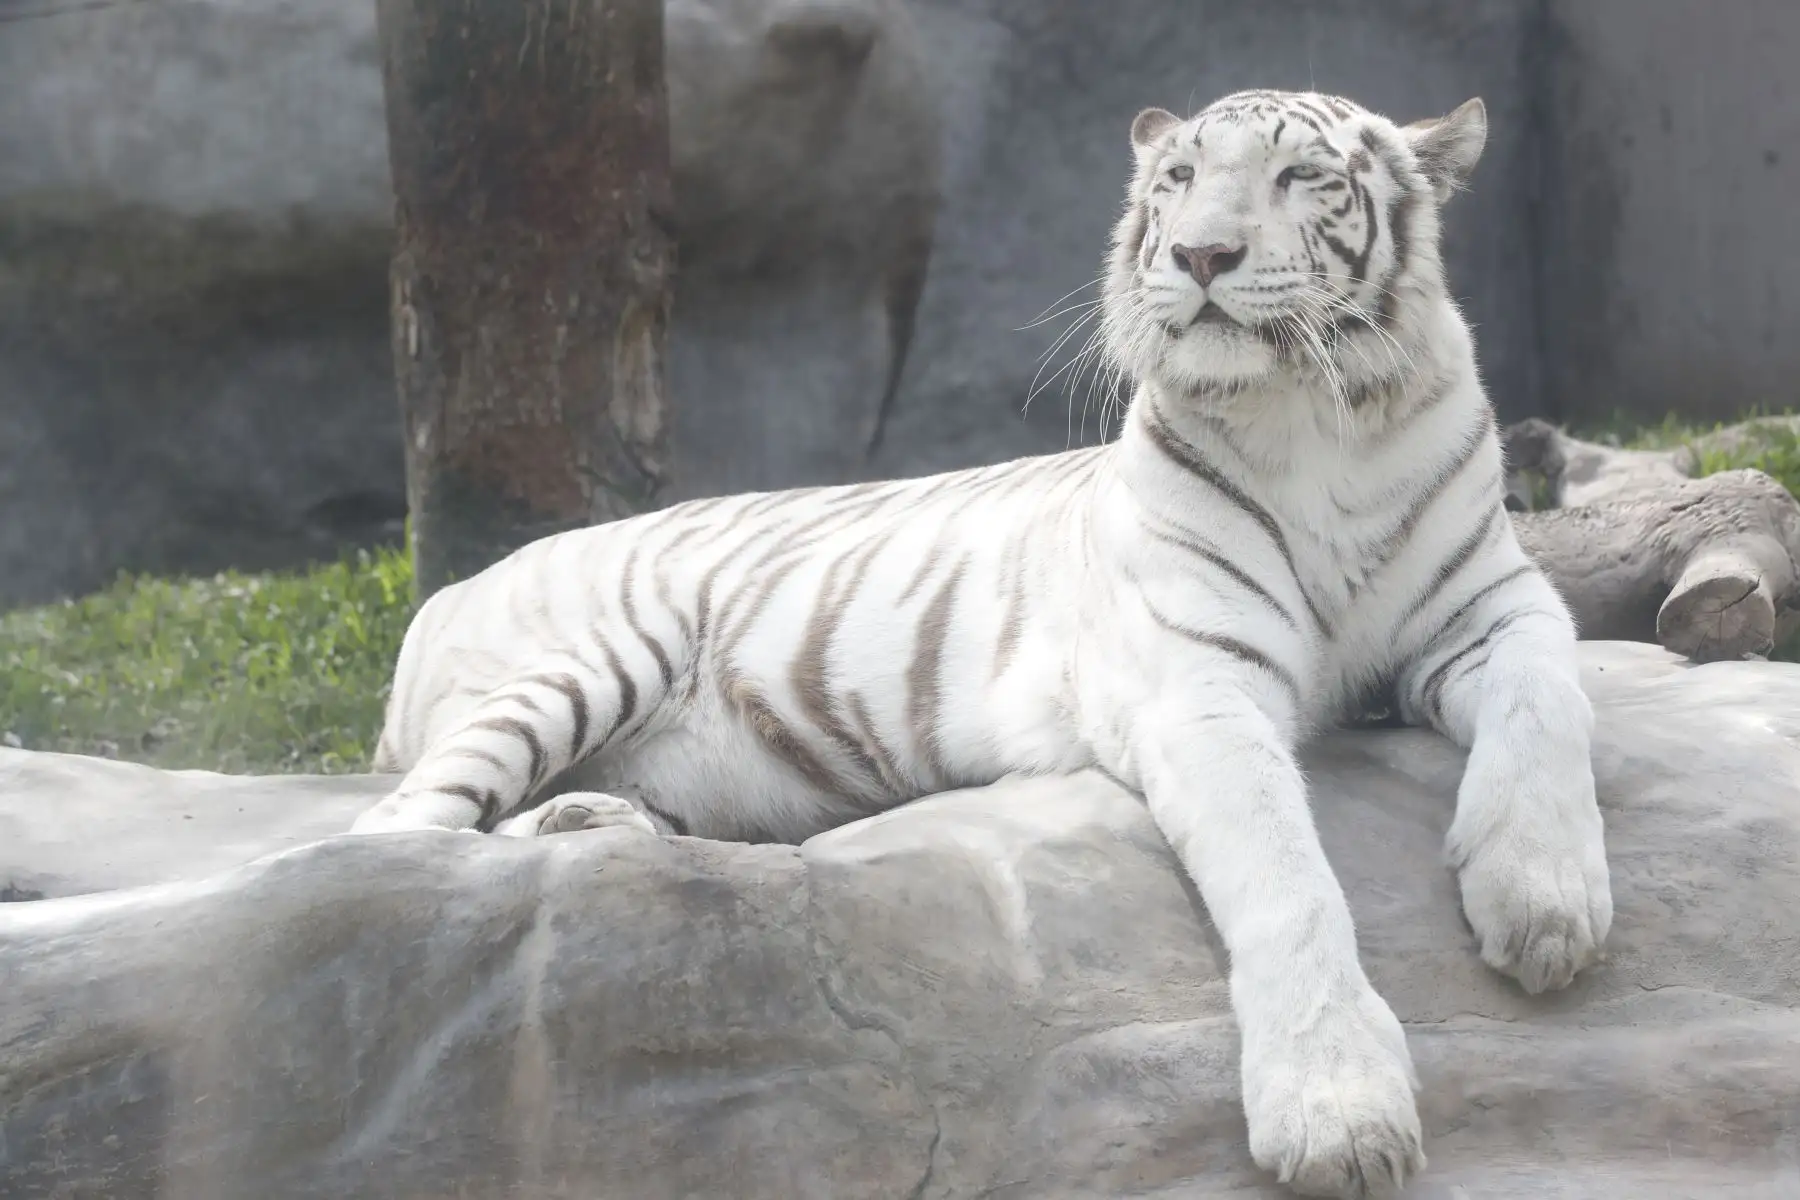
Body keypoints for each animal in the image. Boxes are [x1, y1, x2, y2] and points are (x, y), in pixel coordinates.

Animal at [349, 89, 1613, 1200]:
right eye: (1179, 179)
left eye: (1301, 177)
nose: (1200, 255)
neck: (1317, 418)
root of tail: (443, 591)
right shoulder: (1198, 680)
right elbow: (1287, 878)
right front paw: (1341, 1119)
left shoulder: (1496, 603)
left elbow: (1552, 702)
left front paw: (1544, 905)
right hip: (604, 657)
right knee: (393, 833)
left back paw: (590, 824)